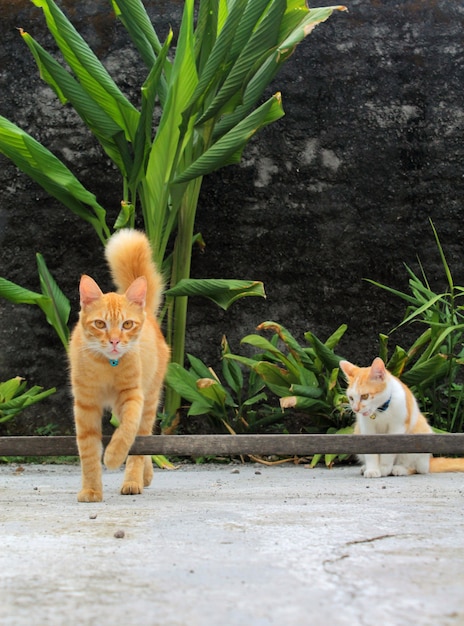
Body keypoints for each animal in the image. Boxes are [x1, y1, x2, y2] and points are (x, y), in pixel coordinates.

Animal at [68, 229, 169, 502]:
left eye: (127, 325)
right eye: (100, 324)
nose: (114, 341)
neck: (107, 365)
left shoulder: (133, 397)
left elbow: (127, 432)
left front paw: (113, 456)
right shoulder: (85, 405)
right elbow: (88, 451)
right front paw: (91, 490)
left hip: (150, 399)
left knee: (142, 439)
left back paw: (134, 481)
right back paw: (145, 476)